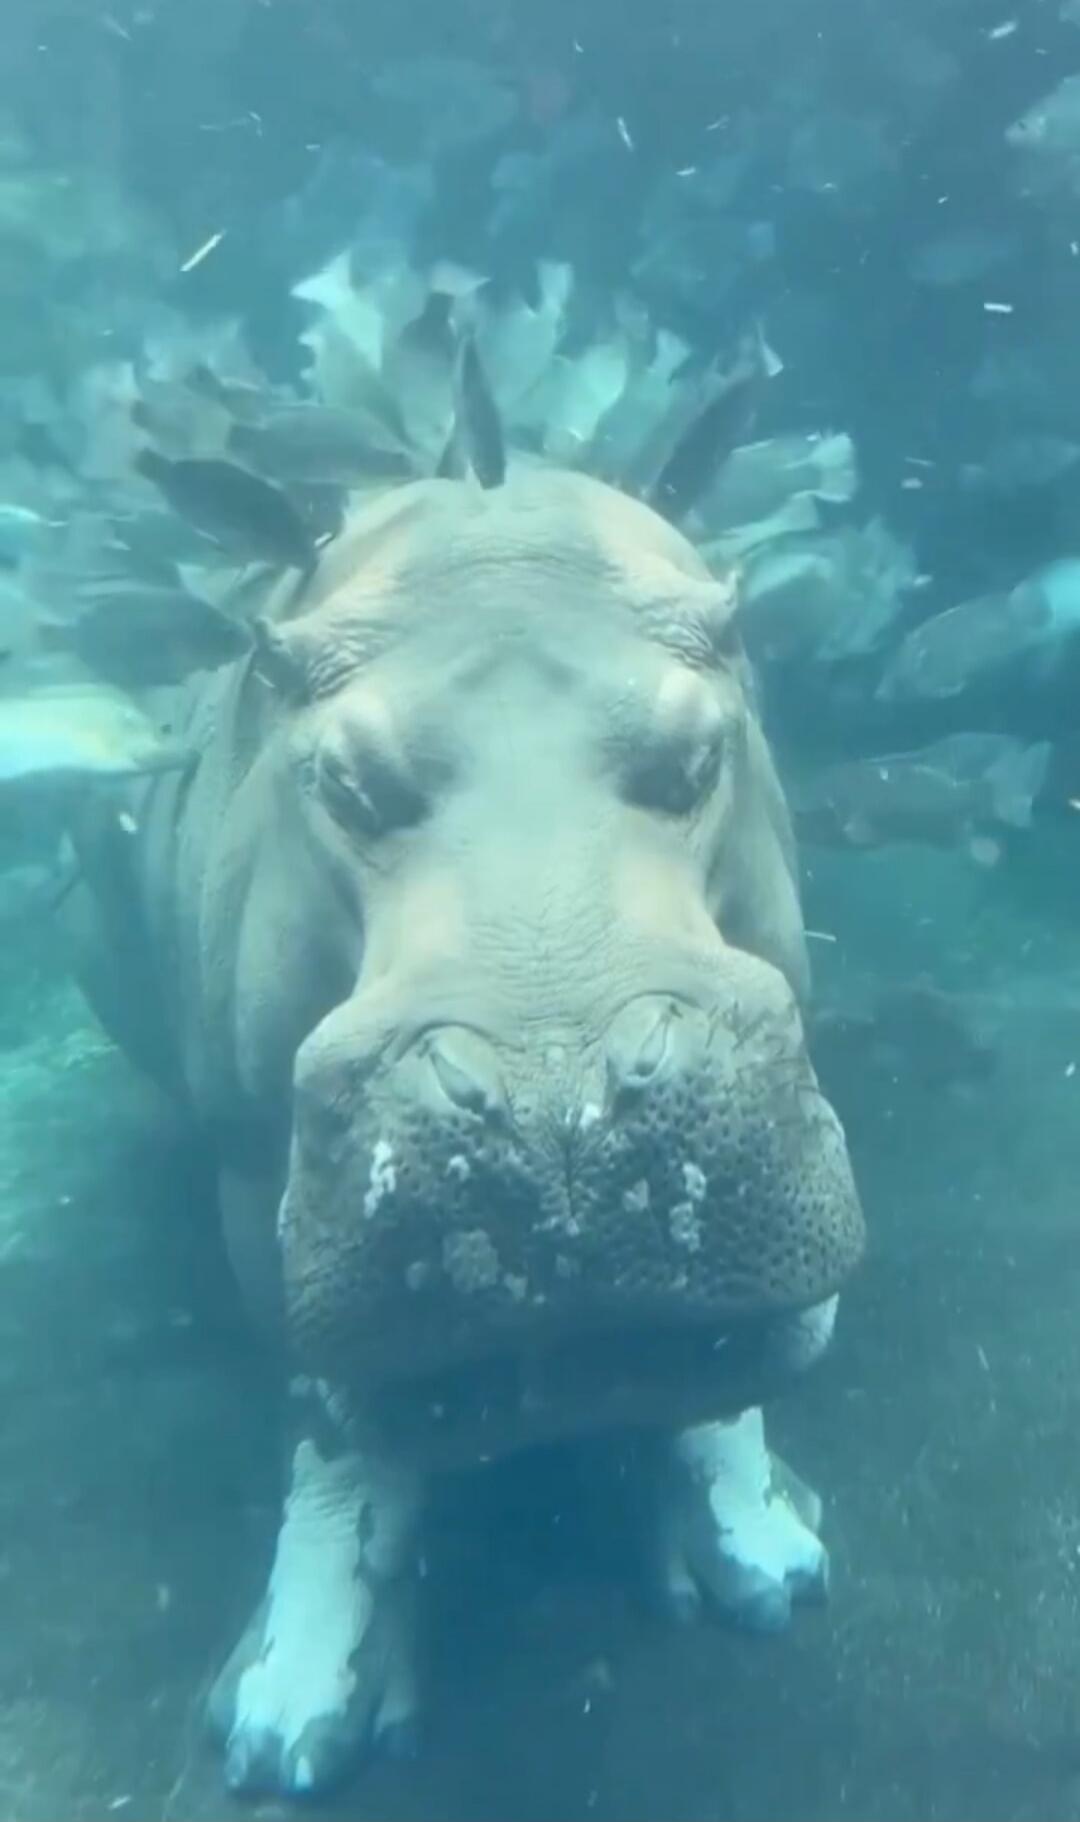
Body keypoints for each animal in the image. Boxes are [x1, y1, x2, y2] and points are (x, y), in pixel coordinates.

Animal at [68, 463, 864, 1799]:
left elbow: (716, 1365)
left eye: (700, 751)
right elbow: (329, 1432)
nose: (561, 1108)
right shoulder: (251, 1167)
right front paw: (291, 1720)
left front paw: (766, 1558)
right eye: (338, 779)